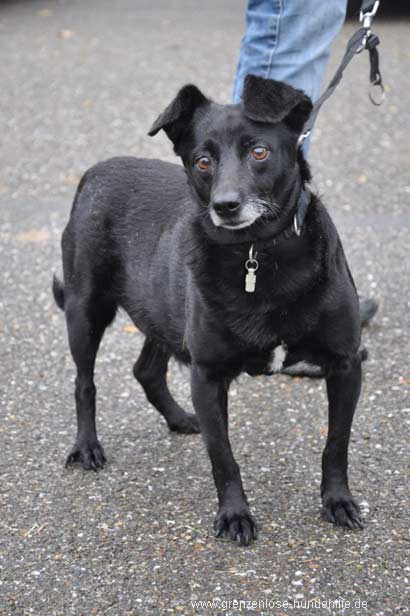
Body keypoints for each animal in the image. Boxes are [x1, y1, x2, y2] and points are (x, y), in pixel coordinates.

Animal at [53, 75, 366, 545]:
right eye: (202, 161)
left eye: (259, 152)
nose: (225, 206)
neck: (257, 253)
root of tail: (95, 171)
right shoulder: (207, 374)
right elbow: (223, 455)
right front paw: (235, 515)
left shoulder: (345, 365)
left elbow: (336, 443)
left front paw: (338, 501)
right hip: (86, 311)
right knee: (84, 382)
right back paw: (87, 446)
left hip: (162, 312)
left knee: (146, 370)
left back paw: (181, 419)